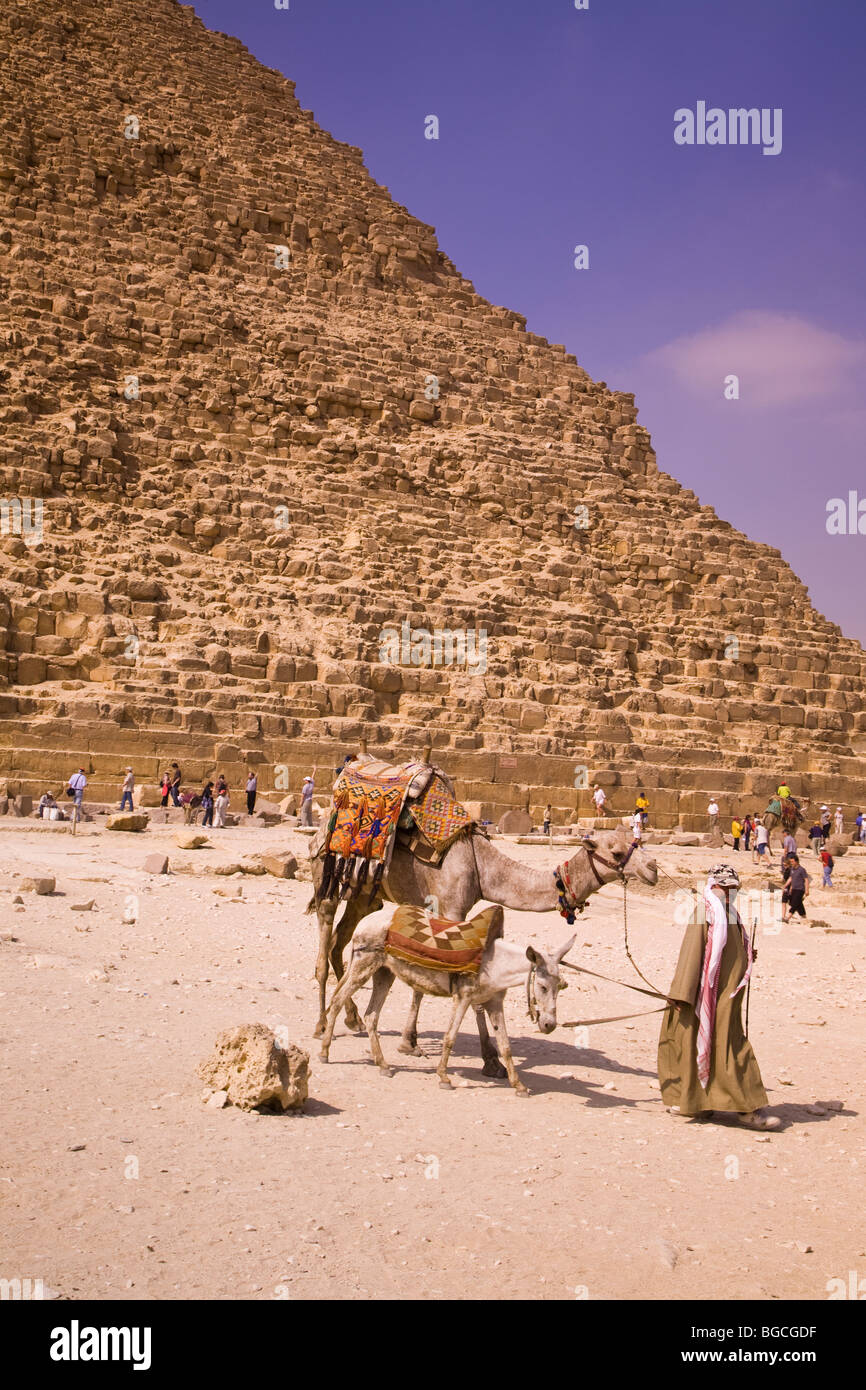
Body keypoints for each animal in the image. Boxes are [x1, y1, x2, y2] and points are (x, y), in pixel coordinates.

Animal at [318, 900, 575, 1095]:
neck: (494, 962)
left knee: (372, 1015)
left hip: (383, 973)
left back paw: (383, 1065)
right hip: (363, 967)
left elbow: (505, 1045)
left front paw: (519, 1085)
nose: (549, 1025)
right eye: (542, 986)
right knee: (338, 1001)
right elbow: (450, 1037)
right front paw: (444, 1078)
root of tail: (363, 923)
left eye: (562, 986)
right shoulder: (462, 998)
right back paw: (324, 1052)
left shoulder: (494, 1002)